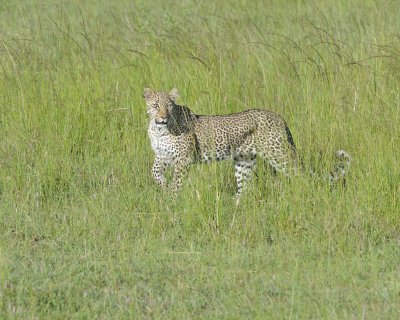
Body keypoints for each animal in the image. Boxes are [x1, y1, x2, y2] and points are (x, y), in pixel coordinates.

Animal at [144, 87, 350, 202]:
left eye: (169, 106)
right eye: (155, 105)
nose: (163, 117)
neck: (159, 130)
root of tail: (279, 117)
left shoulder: (183, 159)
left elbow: (177, 182)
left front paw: (172, 199)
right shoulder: (162, 156)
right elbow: (154, 172)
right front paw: (163, 185)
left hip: (279, 154)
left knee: (301, 176)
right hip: (244, 160)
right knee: (246, 188)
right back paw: (234, 205)